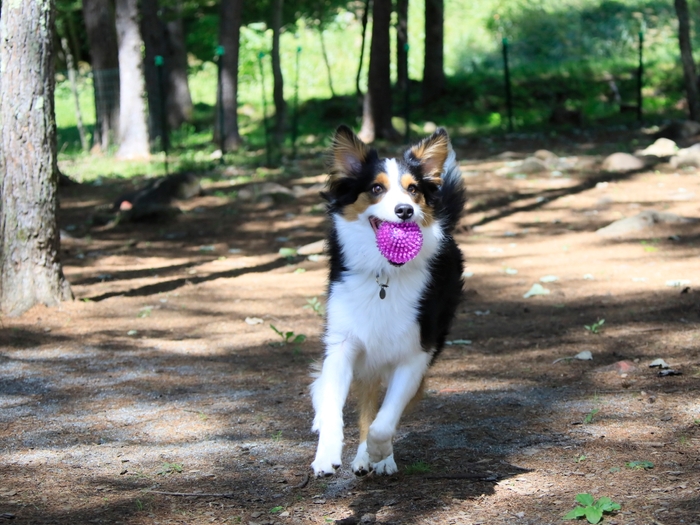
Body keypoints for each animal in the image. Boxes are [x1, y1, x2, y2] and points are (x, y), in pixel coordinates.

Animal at [310, 125, 464, 476]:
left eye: (413, 190)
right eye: (376, 188)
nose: (404, 210)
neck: (385, 274)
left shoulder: (415, 353)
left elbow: (385, 420)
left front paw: (379, 452)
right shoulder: (343, 343)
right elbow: (333, 405)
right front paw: (326, 454)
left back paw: (373, 457)